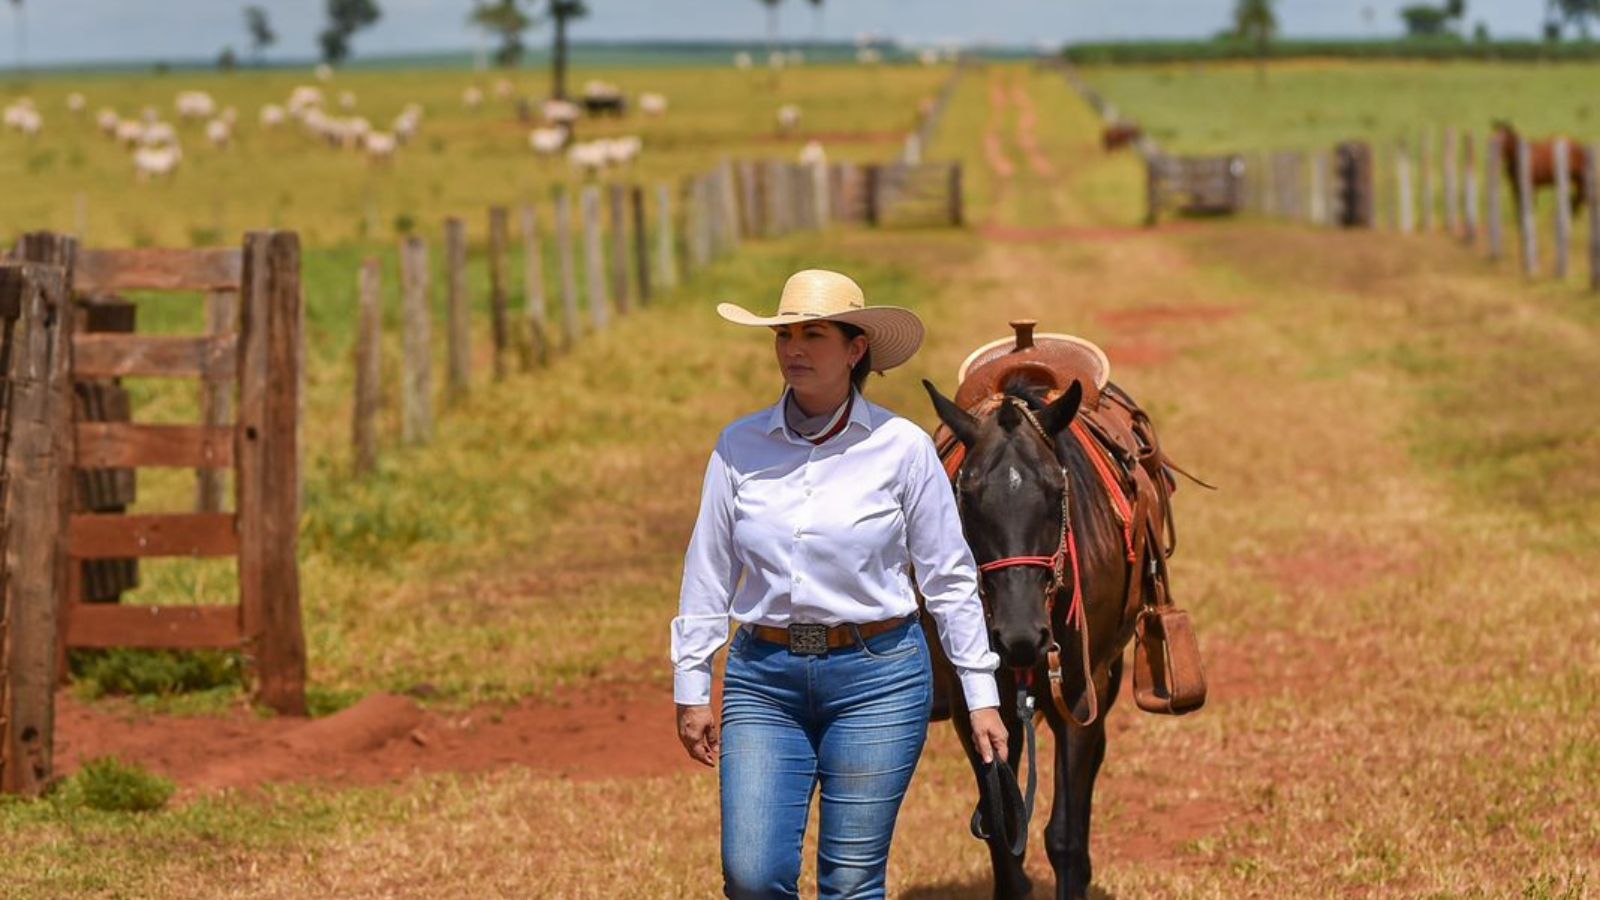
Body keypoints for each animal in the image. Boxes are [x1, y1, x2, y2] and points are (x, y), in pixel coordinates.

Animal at [921, 377, 1145, 896]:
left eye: (1055, 491)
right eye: (967, 497)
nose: (1019, 637)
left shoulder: (1082, 691)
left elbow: (1065, 836)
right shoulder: (974, 705)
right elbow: (1003, 832)